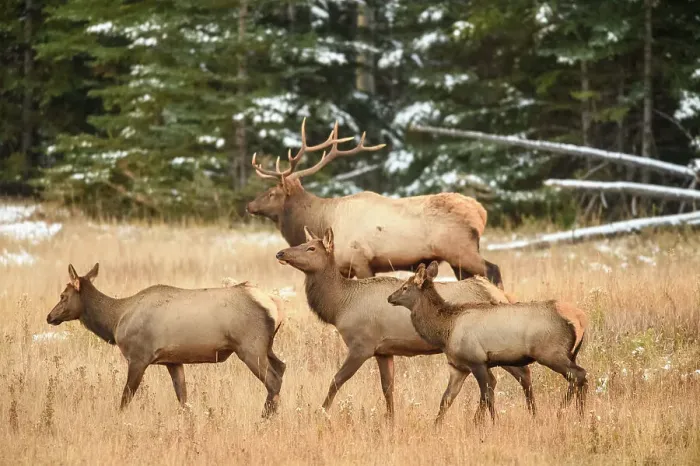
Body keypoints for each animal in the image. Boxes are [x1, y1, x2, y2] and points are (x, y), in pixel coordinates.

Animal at [45, 263, 286, 417]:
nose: (49, 316)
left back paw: (264, 418)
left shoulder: (139, 356)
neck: (115, 322)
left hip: (250, 346)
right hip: (267, 347)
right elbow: (183, 399)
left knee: (273, 380)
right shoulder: (173, 360)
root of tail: (275, 305)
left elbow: (125, 397)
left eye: (63, 296)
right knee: (282, 368)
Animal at [247, 118, 503, 289]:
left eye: (271, 193)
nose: (249, 205)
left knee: (493, 269)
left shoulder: (361, 260)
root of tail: (481, 212)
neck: (322, 218)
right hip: (458, 257)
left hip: (459, 248)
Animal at [274, 227, 535, 420]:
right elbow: (388, 388)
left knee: (517, 373)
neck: (339, 306)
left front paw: (321, 413)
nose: (281, 253)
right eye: (302, 243)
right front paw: (390, 421)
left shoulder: (362, 344)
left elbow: (336, 380)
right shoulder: (383, 350)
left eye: (310, 248)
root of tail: (499, 294)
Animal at [388, 261, 588, 425]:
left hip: (551, 352)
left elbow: (487, 394)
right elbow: (446, 398)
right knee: (578, 378)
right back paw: (578, 416)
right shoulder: (458, 367)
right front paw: (436, 426)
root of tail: (581, 318)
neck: (444, 330)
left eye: (405, 287)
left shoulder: (477, 361)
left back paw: (564, 413)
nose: (390, 297)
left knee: (579, 375)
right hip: (569, 354)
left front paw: (491, 424)